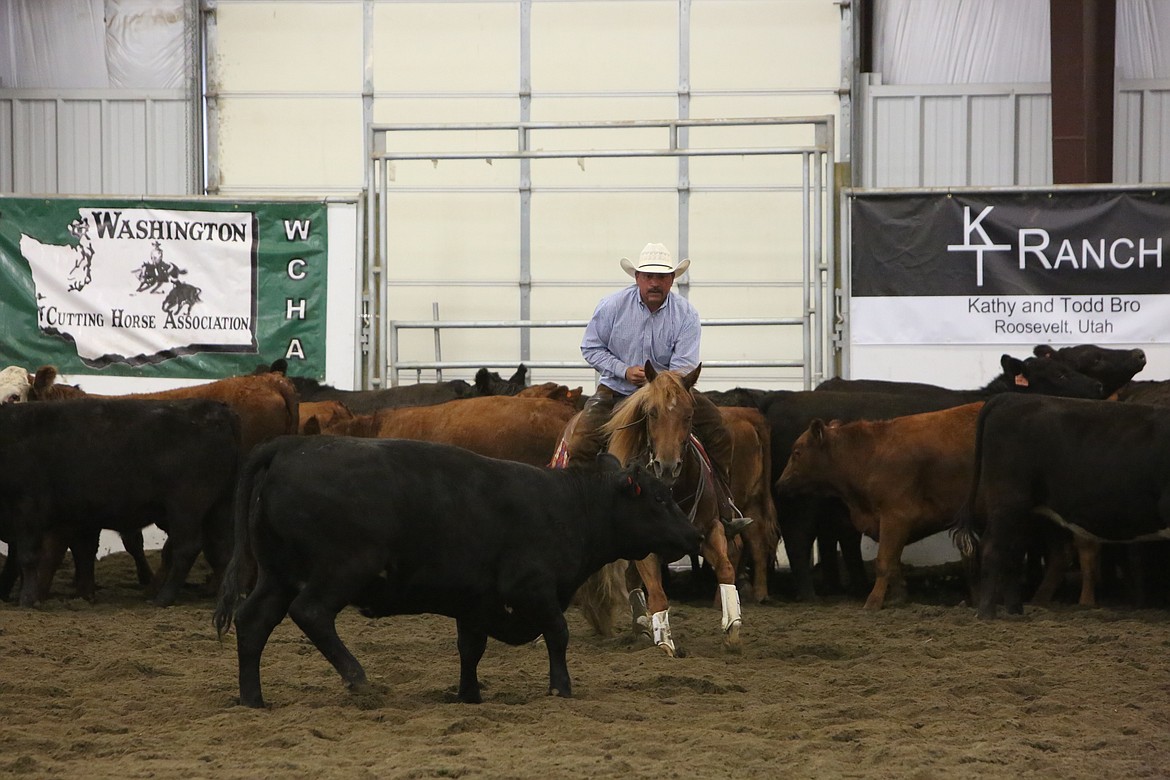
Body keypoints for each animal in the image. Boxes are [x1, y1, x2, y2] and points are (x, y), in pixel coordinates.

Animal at [214, 437, 697, 711]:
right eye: (658, 499)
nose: (691, 535)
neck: (567, 507)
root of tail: (288, 448)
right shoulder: (535, 589)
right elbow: (557, 634)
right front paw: (561, 687)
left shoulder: (475, 603)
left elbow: (470, 649)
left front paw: (469, 695)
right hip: (341, 569)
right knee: (311, 613)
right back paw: (358, 679)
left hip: (277, 574)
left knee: (252, 621)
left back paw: (253, 699)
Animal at [570, 362, 744, 654]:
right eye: (652, 413)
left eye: (688, 415)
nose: (667, 466)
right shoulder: (646, 548)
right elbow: (658, 592)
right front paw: (664, 641)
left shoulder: (711, 530)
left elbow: (725, 567)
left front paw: (732, 625)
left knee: (630, 579)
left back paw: (640, 624)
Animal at [954, 399, 1170, 617]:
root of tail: (1010, 398)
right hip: (1007, 503)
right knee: (992, 548)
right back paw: (987, 613)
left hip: (1021, 513)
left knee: (1012, 552)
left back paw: (1015, 611)